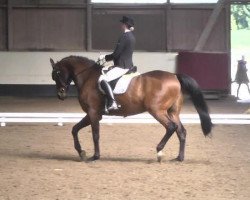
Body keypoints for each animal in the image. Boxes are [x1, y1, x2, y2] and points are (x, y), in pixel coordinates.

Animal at [49, 55, 213, 162]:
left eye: (57, 73)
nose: (60, 94)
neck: (88, 76)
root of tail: (174, 76)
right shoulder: (92, 114)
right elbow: (74, 129)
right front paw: (81, 152)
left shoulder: (94, 113)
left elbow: (95, 135)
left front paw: (94, 156)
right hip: (172, 112)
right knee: (181, 131)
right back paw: (179, 158)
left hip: (157, 111)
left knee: (171, 127)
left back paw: (159, 152)